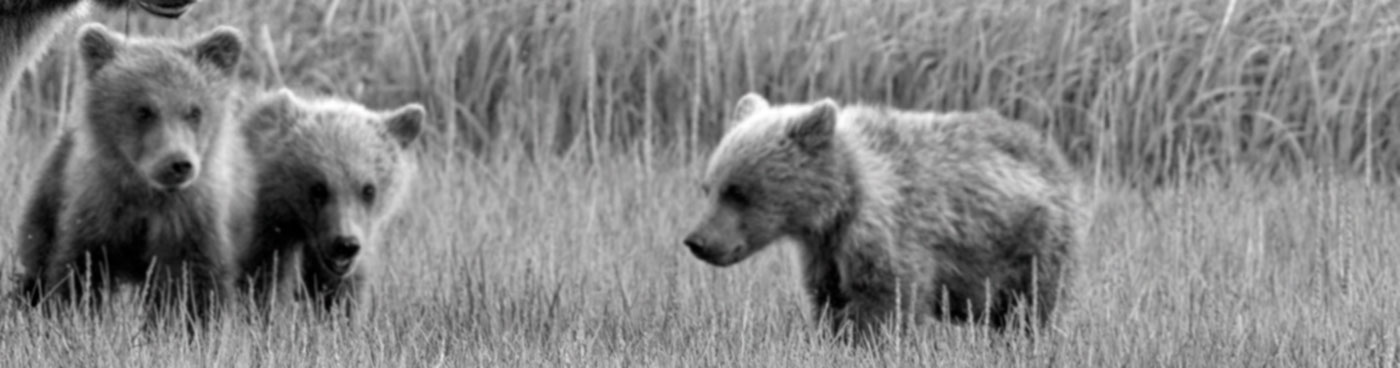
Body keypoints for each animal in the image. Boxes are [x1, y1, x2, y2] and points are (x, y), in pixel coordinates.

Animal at [12, 22, 247, 326]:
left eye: (195, 111)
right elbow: (79, 275)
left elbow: (196, 288)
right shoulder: (96, 215)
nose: (178, 163)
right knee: (36, 260)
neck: (146, 195)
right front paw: (75, 318)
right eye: (144, 110)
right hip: (48, 197)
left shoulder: (190, 223)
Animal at [235, 88, 422, 314]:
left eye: (368, 189)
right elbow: (267, 284)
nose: (345, 244)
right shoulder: (268, 231)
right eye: (318, 188)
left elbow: (346, 295)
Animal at [677, 93, 1080, 340]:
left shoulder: (887, 233)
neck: (838, 204)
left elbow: (885, 301)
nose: (697, 241)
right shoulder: (824, 251)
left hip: (1031, 244)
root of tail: (1050, 153)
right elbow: (828, 298)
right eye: (708, 187)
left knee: (1030, 307)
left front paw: (868, 341)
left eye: (737, 191)